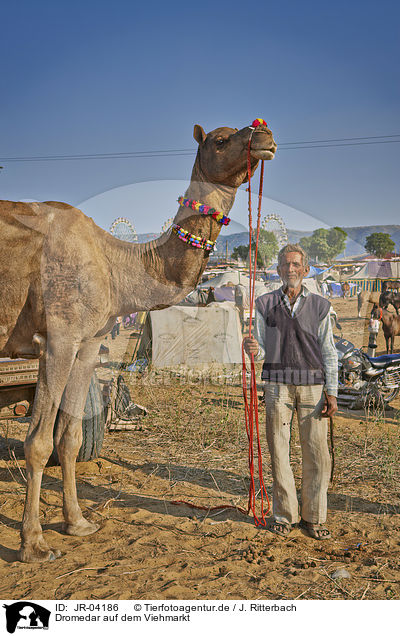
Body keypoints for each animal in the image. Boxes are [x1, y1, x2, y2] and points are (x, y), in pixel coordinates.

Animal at [0, 119, 276, 560]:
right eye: (220, 139)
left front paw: (77, 523)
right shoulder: (59, 338)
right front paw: (34, 543)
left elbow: (71, 437)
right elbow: (39, 442)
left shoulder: (88, 343)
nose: (263, 136)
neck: (116, 263)